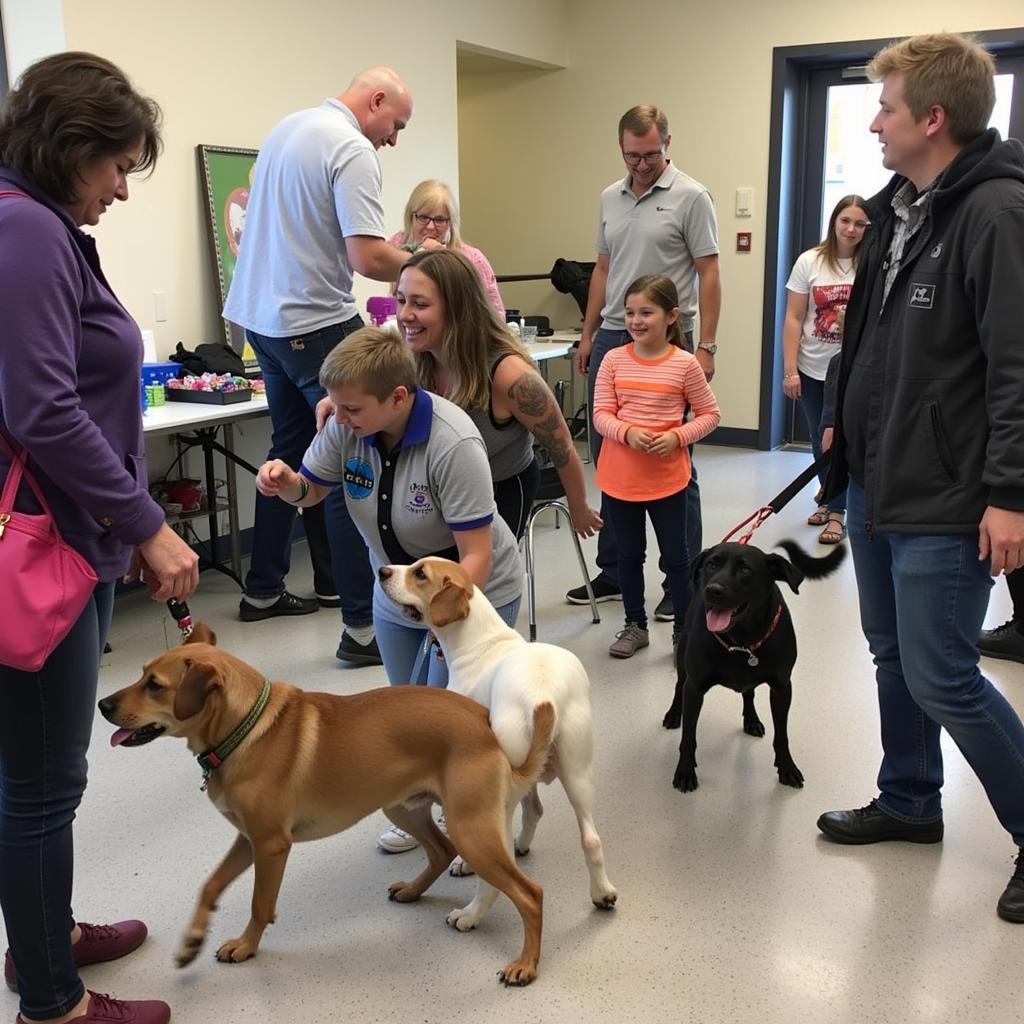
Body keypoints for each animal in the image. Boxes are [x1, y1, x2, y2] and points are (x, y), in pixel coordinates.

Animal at [99, 622, 557, 983]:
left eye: (154, 686)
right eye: (141, 675)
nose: (103, 705)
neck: (244, 731)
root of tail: (488, 728)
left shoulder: (270, 845)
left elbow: (259, 904)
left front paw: (247, 945)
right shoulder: (248, 839)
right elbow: (210, 884)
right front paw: (191, 941)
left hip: (470, 829)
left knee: (530, 894)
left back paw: (525, 964)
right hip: (403, 807)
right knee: (441, 851)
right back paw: (413, 890)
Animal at [376, 557, 614, 909]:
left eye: (420, 573)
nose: (382, 571)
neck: (477, 639)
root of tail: (544, 695)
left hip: (504, 788)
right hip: (577, 773)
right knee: (587, 837)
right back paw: (601, 891)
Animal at [663, 544, 847, 790]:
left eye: (745, 570)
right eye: (712, 564)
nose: (712, 590)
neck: (741, 639)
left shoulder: (782, 688)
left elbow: (782, 735)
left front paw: (787, 767)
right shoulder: (695, 688)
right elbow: (688, 738)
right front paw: (684, 771)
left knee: (748, 693)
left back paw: (751, 720)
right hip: (683, 661)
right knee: (678, 686)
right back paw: (674, 714)